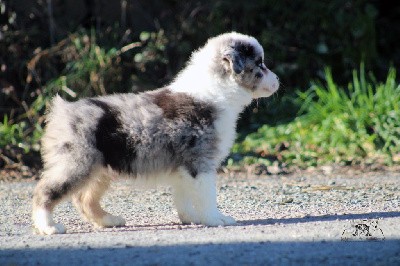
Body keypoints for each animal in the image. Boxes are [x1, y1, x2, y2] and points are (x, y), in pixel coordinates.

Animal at [32, 32, 280, 234]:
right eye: (260, 64)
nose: (278, 80)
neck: (217, 91)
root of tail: (62, 110)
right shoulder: (200, 163)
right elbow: (207, 196)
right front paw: (216, 219)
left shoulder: (183, 168)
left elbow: (183, 197)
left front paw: (191, 218)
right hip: (76, 163)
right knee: (44, 191)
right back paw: (48, 226)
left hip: (100, 169)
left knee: (85, 199)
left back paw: (109, 220)